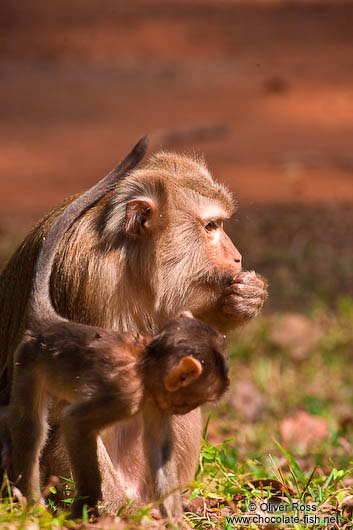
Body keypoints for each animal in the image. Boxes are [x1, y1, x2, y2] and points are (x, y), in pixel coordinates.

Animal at [0, 138, 266, 510]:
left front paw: (246, 298)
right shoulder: (84, 277)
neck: (130, 263)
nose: (237, 257)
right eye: (212, 227)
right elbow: (66, 404)